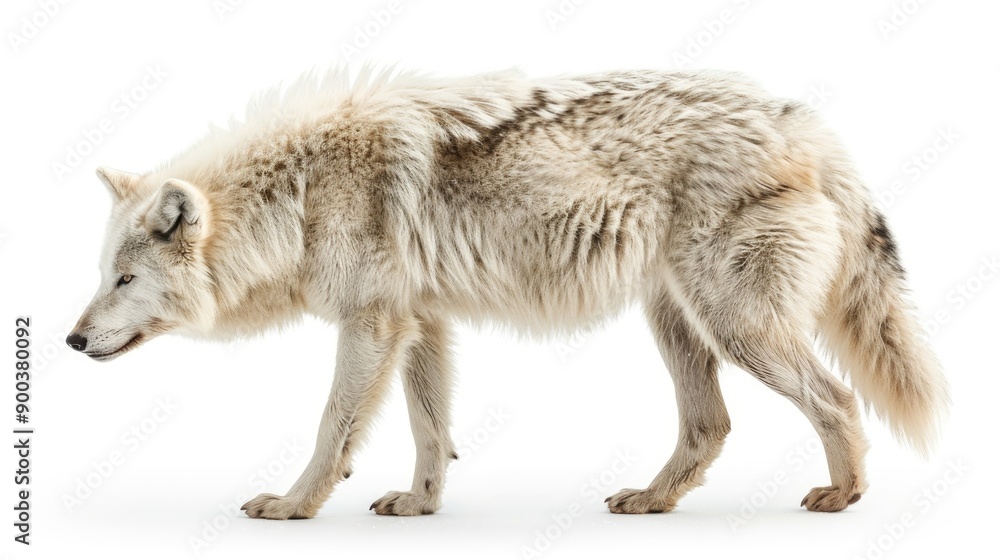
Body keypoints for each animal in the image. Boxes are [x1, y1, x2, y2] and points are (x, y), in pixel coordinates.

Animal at [67, 67, 948, 519]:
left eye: (125, 279)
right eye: (102, 275)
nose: (71, 341)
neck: (301, 195)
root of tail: (802, 123)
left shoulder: (372, 323)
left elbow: (333, 428)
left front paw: (295, 506)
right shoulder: (421, 324)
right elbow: (430, 433)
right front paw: (420, 507)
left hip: (737, 327)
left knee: (836, 399)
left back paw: (844, 494)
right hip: (679, 324)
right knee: (711, 426)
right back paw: (652, 501)